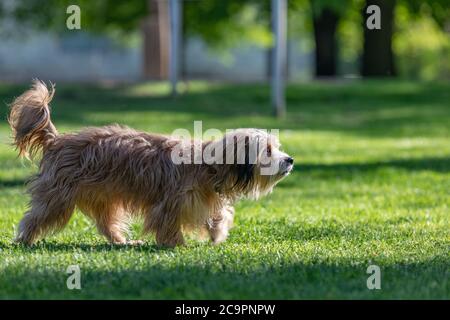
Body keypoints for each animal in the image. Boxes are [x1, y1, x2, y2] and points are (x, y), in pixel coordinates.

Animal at [9, 81, 296, 246]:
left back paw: (121, 242)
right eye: (268, 150)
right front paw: (176, 244)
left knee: (107, 224)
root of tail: (57, 140)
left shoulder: (201, 199)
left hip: (104, 198)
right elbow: (167, 223)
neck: (210, 167)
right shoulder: (171, 200)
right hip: (58, 196)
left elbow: (217, 216)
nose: (290, 160)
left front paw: (216, 234)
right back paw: (25, 239)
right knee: (36, 216)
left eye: (277, 147)